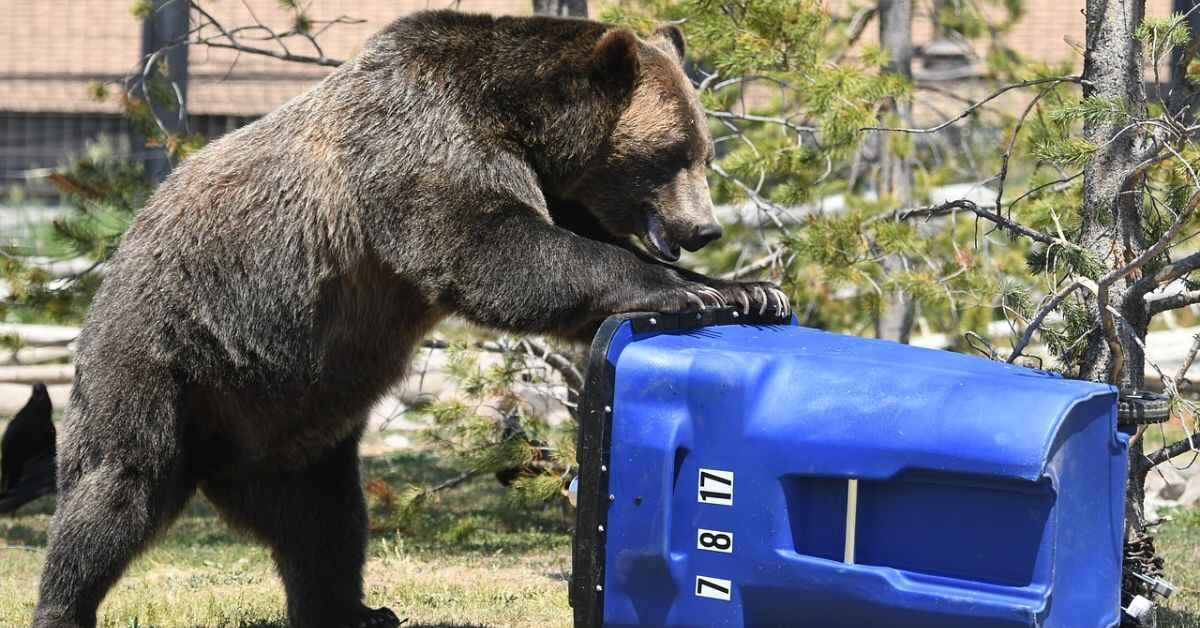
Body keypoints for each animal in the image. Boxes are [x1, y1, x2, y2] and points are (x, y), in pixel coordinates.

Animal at [30, 11, 787, 628]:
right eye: (672, 154)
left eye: (705, 151)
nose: (705, 229)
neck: (520, 123)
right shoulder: (422, 150)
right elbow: (501, 254)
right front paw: (686, 293)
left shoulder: (538, 181)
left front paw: (748, 291)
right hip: (167, 358)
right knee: (115, 488)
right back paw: (65, 605)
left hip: (291, 421)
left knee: (325, 522)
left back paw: (353, 610)